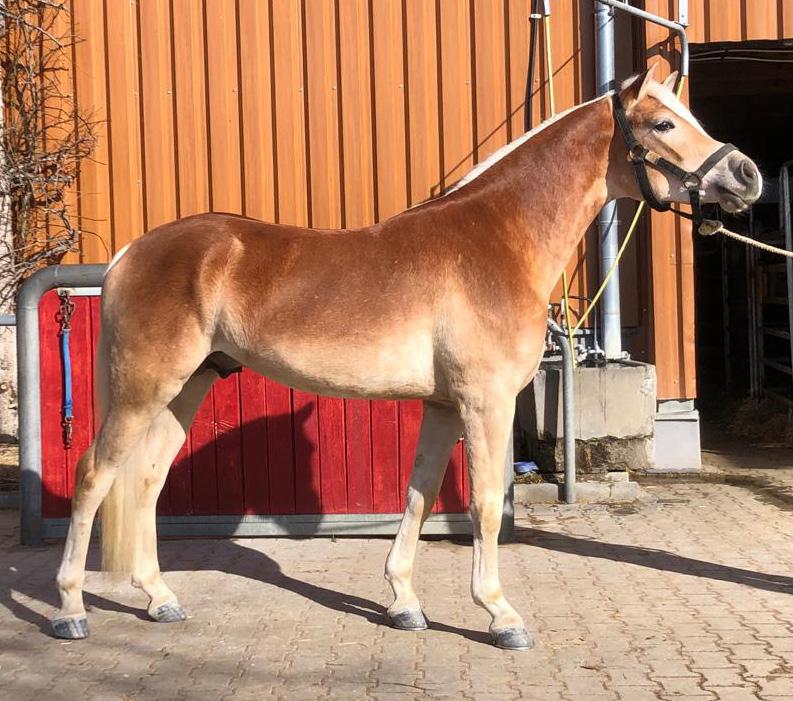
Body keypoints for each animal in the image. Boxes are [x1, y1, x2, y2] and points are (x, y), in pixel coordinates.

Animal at [51, 65, 761, 649]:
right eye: (663, 123)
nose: (746, 175)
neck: (499, 239)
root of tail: (129, 254)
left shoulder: (444, 407)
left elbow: (419, 496)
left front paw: (404, 604)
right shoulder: (484, 404)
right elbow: (484, 506)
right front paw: (501, 616)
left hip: (188, 386)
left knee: (145, 482)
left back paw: (160, 599)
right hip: (145, 388)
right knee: (93, 476)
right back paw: (71, 611)